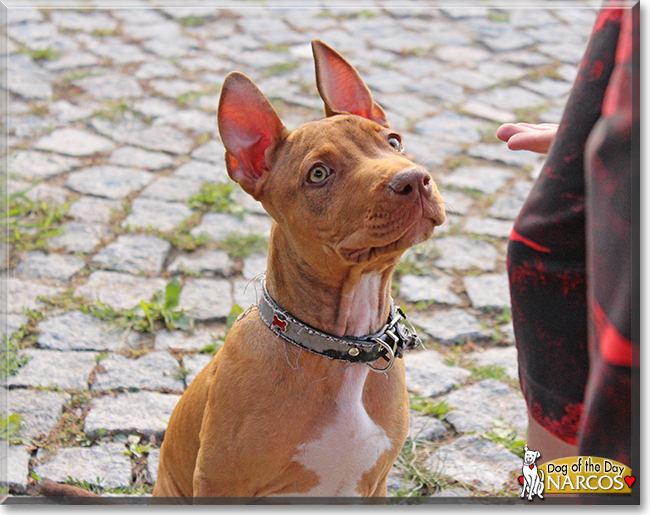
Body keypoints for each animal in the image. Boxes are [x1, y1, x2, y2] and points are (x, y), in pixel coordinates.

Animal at [152, 41, 446, 504]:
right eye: (319, 174)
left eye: (394, 141)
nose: (415, 180)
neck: (344, 347)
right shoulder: (221, 483)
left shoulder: (375, 483)